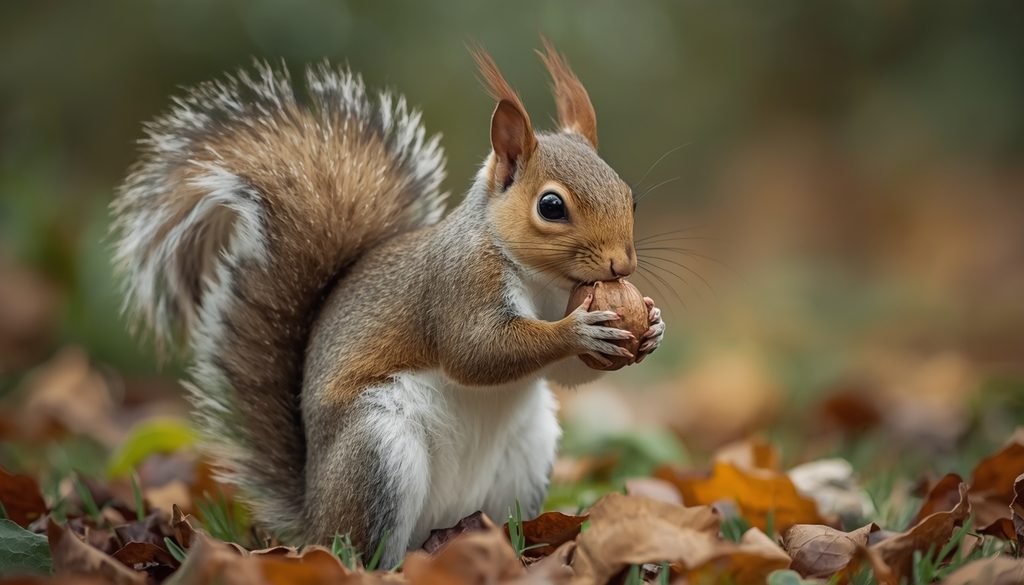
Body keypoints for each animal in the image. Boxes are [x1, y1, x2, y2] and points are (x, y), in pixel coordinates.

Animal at [111, 43, 665, 566]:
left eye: (629, 196)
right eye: (551, 206)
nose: (621, 264)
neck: (545, 283)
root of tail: (314, 517)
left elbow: (571, 374)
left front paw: (652, 325)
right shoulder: (458, 284)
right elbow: (476, 351)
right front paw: (578, 331)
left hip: (527, 454)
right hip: (377, 453)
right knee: (367, 547)